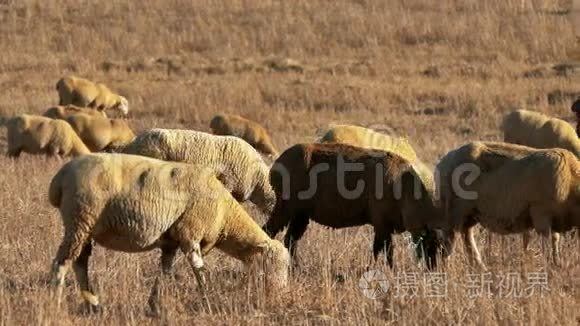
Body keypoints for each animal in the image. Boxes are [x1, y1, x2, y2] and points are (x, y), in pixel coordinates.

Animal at [48, 153, 288, 310]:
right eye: (271, 265)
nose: (278, 296)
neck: (225, 218)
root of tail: (60, 177)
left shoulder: (170, 242)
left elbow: (164, 272)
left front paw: (153, 304)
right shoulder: (190, 233)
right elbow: (199, 270)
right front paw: (209, 301)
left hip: (84, 227)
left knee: (80, 262)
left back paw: (92, 303)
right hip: (80, 219)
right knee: (63, 261)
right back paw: (55, 301)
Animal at [260, 142, 446, 268]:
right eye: (429, 240)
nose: (433, 269)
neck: (401, 188)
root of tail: (277, 164)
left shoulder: (385, 227)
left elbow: (384, 251)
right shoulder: (381, 225)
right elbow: (382, 250)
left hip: (301, 216)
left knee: (290, 239)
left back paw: (296, 267)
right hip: (285, 209)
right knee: (268, 231)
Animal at [438, 141, 576, 268]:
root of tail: (445, 159)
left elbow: (555, 241)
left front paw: (557, 264)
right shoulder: (541, 215)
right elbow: (547, 243)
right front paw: (550, 265)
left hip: (469, 215)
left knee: (467, 238)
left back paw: (480, 266)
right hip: (454, 213)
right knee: (448, 245)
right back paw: (448, 269)